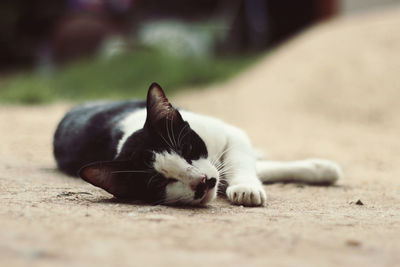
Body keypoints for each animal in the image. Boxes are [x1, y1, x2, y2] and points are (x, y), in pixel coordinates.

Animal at [52, 83, 340, 207]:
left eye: (188, 149)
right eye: (159, 182)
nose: (203, 181)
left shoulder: (230, 133)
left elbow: (239, 160)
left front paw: (245, 188)